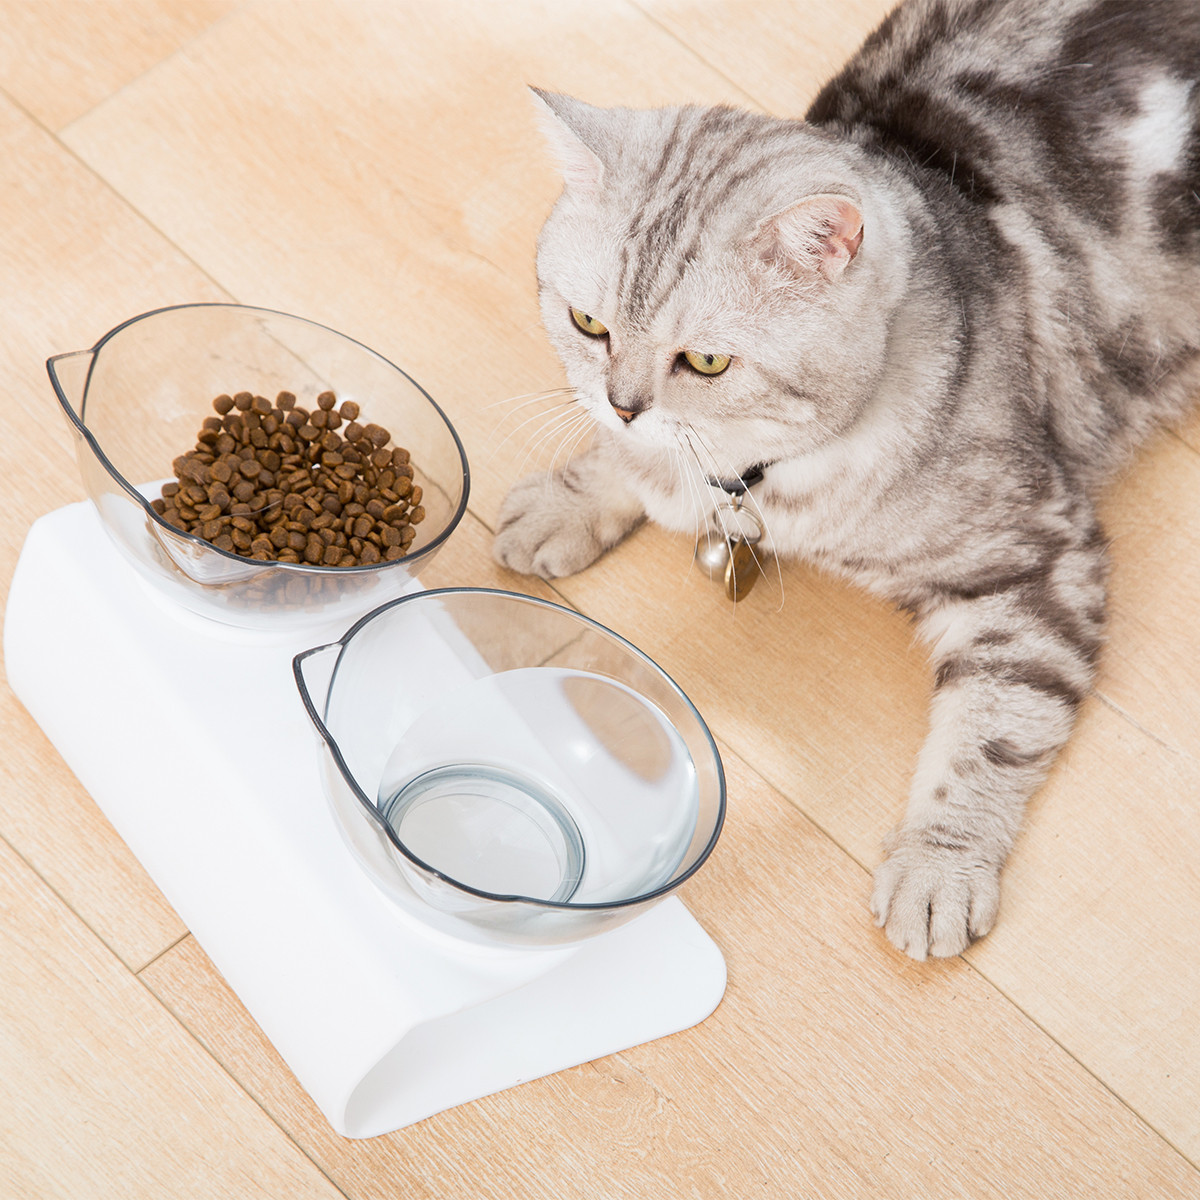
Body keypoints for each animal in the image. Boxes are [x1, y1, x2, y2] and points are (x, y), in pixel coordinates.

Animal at [492, 0, 1200, 960]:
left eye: (706, 360)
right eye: (587, 323)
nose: (624, 402)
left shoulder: (1039, 555)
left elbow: (993, 731)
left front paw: (939, 864)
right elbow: (626, 465)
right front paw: (570, 497)